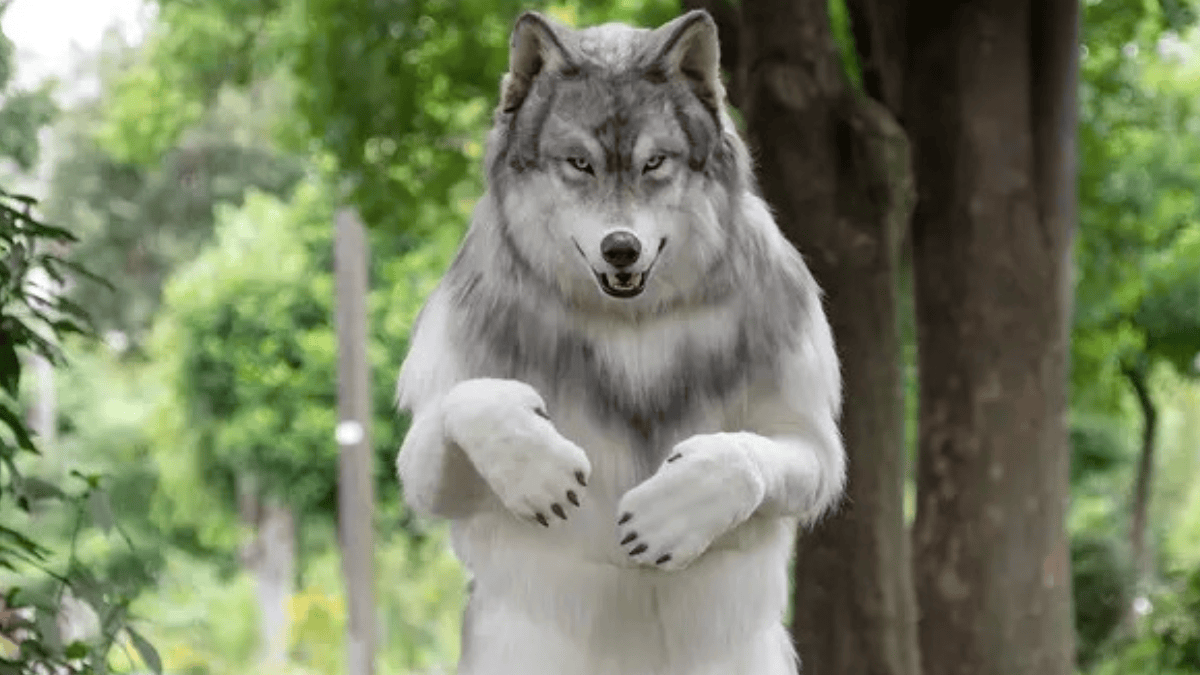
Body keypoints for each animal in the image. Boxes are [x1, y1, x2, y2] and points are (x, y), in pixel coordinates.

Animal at [395, 9, 845, 675]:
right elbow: (471, 401)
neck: (629, 326)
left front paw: (675, 510)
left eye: (655, 162)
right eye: (579, 164)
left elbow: (741, 456)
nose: (621, 248)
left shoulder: (808, 440)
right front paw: (539, 469)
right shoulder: (429, 455)